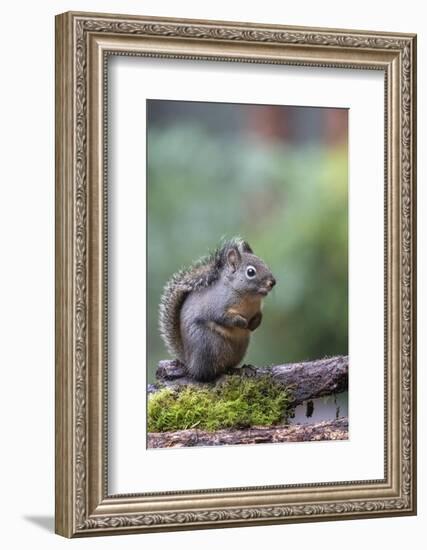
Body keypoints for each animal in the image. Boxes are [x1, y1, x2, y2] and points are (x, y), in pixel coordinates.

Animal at [159, 237, 276, 384]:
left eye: (265, 264)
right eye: (250, 272)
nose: (273, 282)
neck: (248, 298)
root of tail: (190, 363)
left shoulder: (257, 309)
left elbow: (259, 315)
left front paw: (255, 324)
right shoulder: (216, 306)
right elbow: (222, 317)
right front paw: (242, 322)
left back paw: (242, 369)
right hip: (209, 344)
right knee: (207, 373)